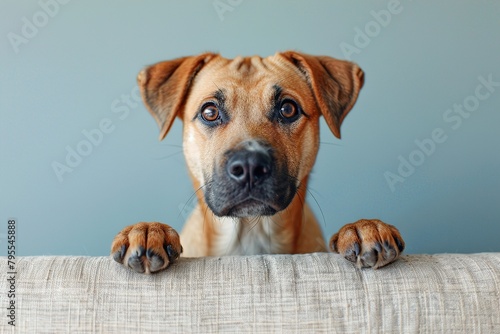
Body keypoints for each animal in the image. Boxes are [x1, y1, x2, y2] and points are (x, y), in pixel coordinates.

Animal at [110, 51, 406, 272]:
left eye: (288, 109)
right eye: (209, 112)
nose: (250, 166)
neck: (250, 234)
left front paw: (363, 228)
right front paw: (148, 230)